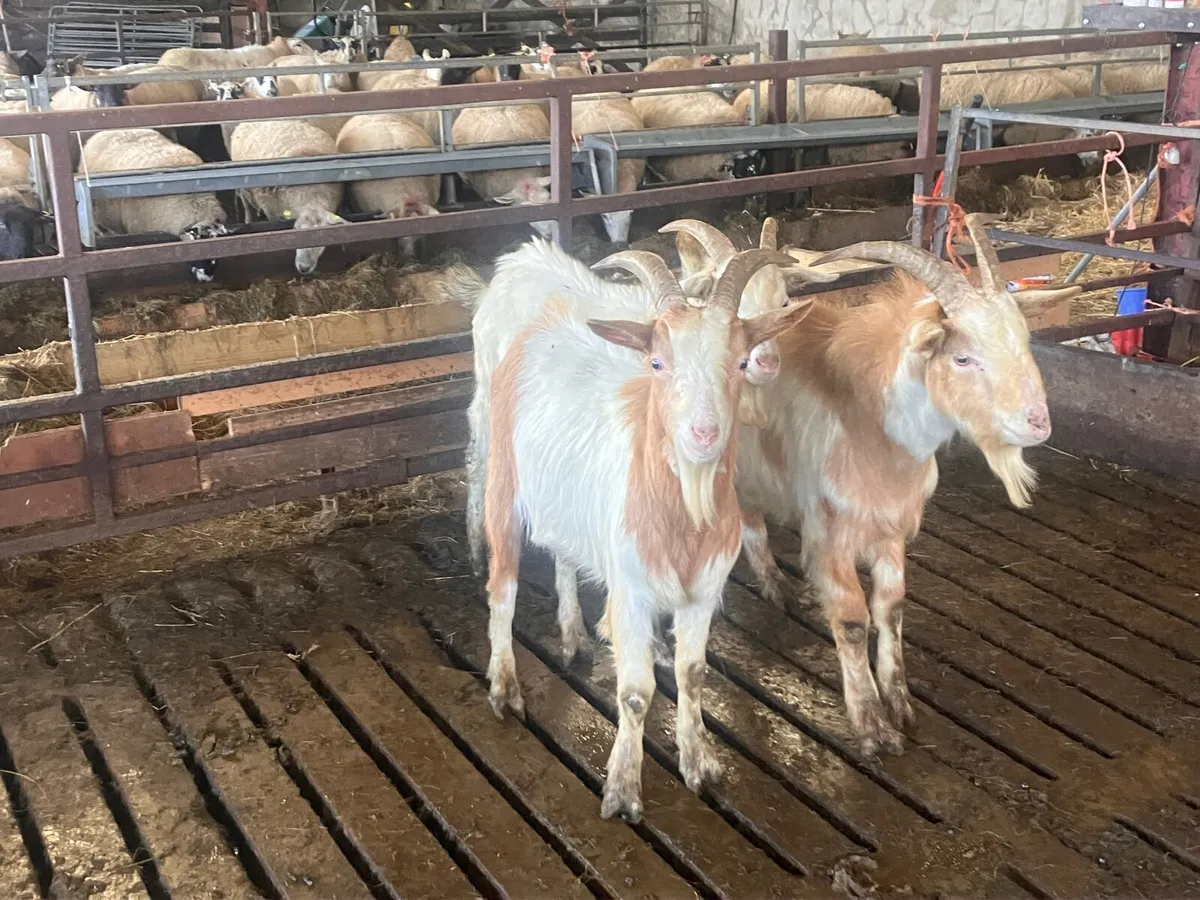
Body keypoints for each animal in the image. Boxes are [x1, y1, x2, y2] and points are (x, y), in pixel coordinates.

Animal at [469, 243, 809, 820]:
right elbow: (634, 692)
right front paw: (623, 789)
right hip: (502, 479)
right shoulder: (630, 592)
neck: (683, 518)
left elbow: (693, 674)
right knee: (502, 588)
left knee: (562, 554)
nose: (703, 433)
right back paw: (505, 687)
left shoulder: (704, 592)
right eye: (657, 362)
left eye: (739, 361)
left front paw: (700, 761)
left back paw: (573, 635)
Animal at [733, 215, 1080, 756]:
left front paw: (899, 703)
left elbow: (890, 608)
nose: (1037, 424)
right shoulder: (830, 529)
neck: (868, 418)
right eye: (962, 359)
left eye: (1025, 340)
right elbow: (853, 621)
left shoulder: (892, 524)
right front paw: (871, 724)